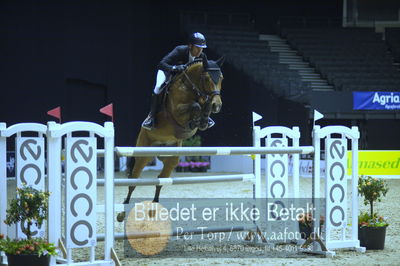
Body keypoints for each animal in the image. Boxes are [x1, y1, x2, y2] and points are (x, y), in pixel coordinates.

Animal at [116, 55, 225, 221]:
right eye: (207, 78)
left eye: (221, 78)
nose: (217, 106)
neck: (191, 88)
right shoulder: (178, 112)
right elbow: (194, 107)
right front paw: (197, 116)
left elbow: (202, 110)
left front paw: (205, 118)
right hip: (143, 155)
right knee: (133, 180)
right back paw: (122, 212)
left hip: (171, 158)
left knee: (160, 179)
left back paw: (154, 209)